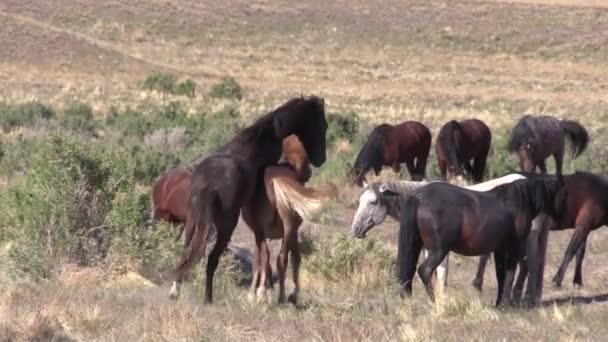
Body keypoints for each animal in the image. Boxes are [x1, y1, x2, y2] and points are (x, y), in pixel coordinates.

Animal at [245, 135, 334, 304]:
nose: (309, 172)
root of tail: (276, 180)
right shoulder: (293, 232)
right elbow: (296, 258)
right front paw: (293, 293)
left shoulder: (258, 232)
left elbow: (257, 260)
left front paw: (255, 292)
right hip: (288, 227)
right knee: (282, 259)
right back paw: (282, 296)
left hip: (266, 231)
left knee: (266, 256)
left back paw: (261, 293)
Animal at [396, 175, 568, 306]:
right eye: (561, 193)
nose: (560, 219)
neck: (518, 201)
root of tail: (418, 198)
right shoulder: (513, 248)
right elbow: (510, 273)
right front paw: (505, 303)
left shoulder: (500, 250)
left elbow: (501, 274)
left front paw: (499, 303)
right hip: (438, 250)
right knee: (424, 271)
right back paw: (435, 302)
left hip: (417, 246)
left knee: (410, 272)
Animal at [472, 172, 608, 304]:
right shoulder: (583, 225)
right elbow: (570, 252)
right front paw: (558, 280)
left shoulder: (585, 227)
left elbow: (579, 253)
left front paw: (577, 281)